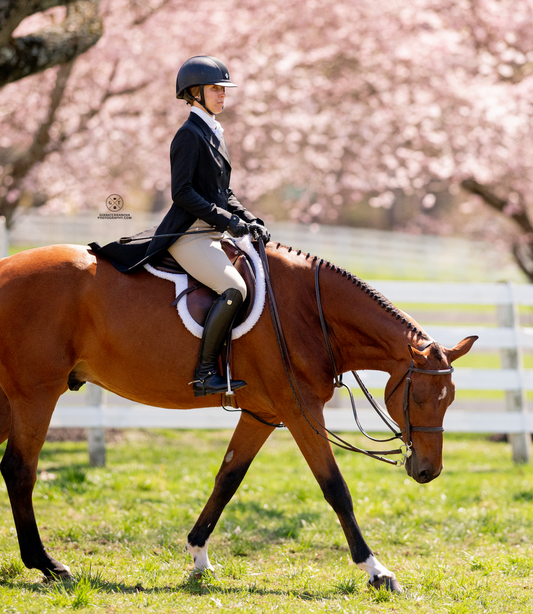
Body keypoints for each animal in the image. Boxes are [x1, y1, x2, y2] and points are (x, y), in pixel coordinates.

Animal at [0, 241, 476, 592]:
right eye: (421, 398)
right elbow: (335, 488)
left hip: (13, 398)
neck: (310, 311)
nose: (428, 471)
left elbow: (227, 480)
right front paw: (377, 571)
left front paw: (198, 557)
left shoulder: (262, 414)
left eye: (450, 399)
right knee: (20, 471)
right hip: (36, 394)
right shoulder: (301, 411)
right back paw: (48, 565)